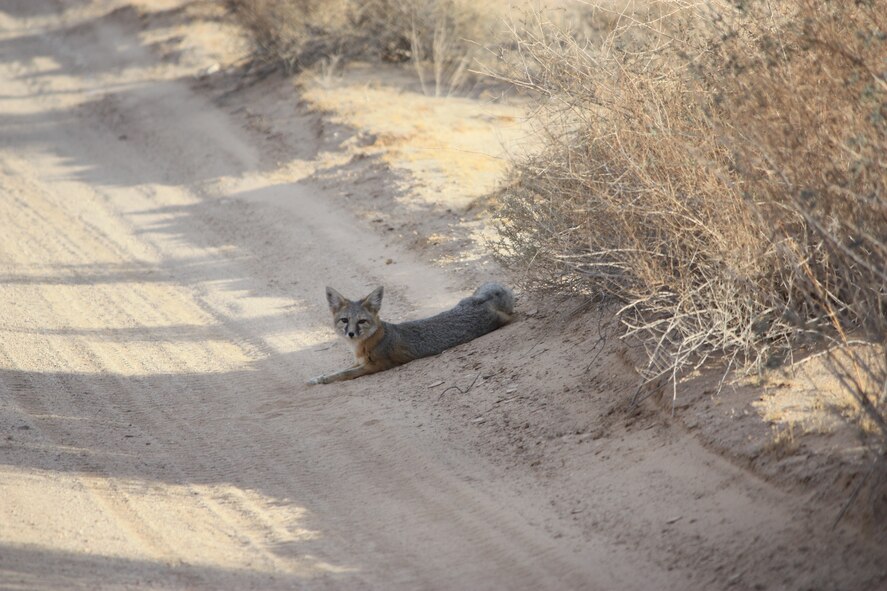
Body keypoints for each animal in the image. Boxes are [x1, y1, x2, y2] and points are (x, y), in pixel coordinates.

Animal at [307, 282, 514, 385]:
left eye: (361, 321)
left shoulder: (376, 365)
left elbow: (345, 374)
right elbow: (341, 370)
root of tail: (479, 300)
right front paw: (320, 377)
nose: (351, 333)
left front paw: (324, 380)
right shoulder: (359, 362)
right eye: (344, 320)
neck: (360, 347)